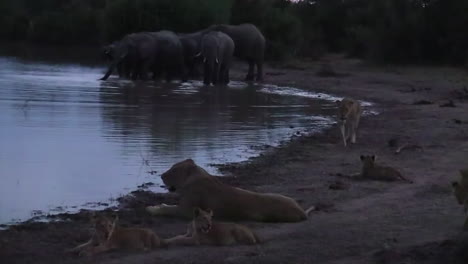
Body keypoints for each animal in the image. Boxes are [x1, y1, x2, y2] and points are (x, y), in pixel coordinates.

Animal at [146, 159, 314, 223]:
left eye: (173, 170)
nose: (161, 176)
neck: (196, 175)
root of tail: (301, 211)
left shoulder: (186, 211)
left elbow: (168, 209)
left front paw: (152, 208)